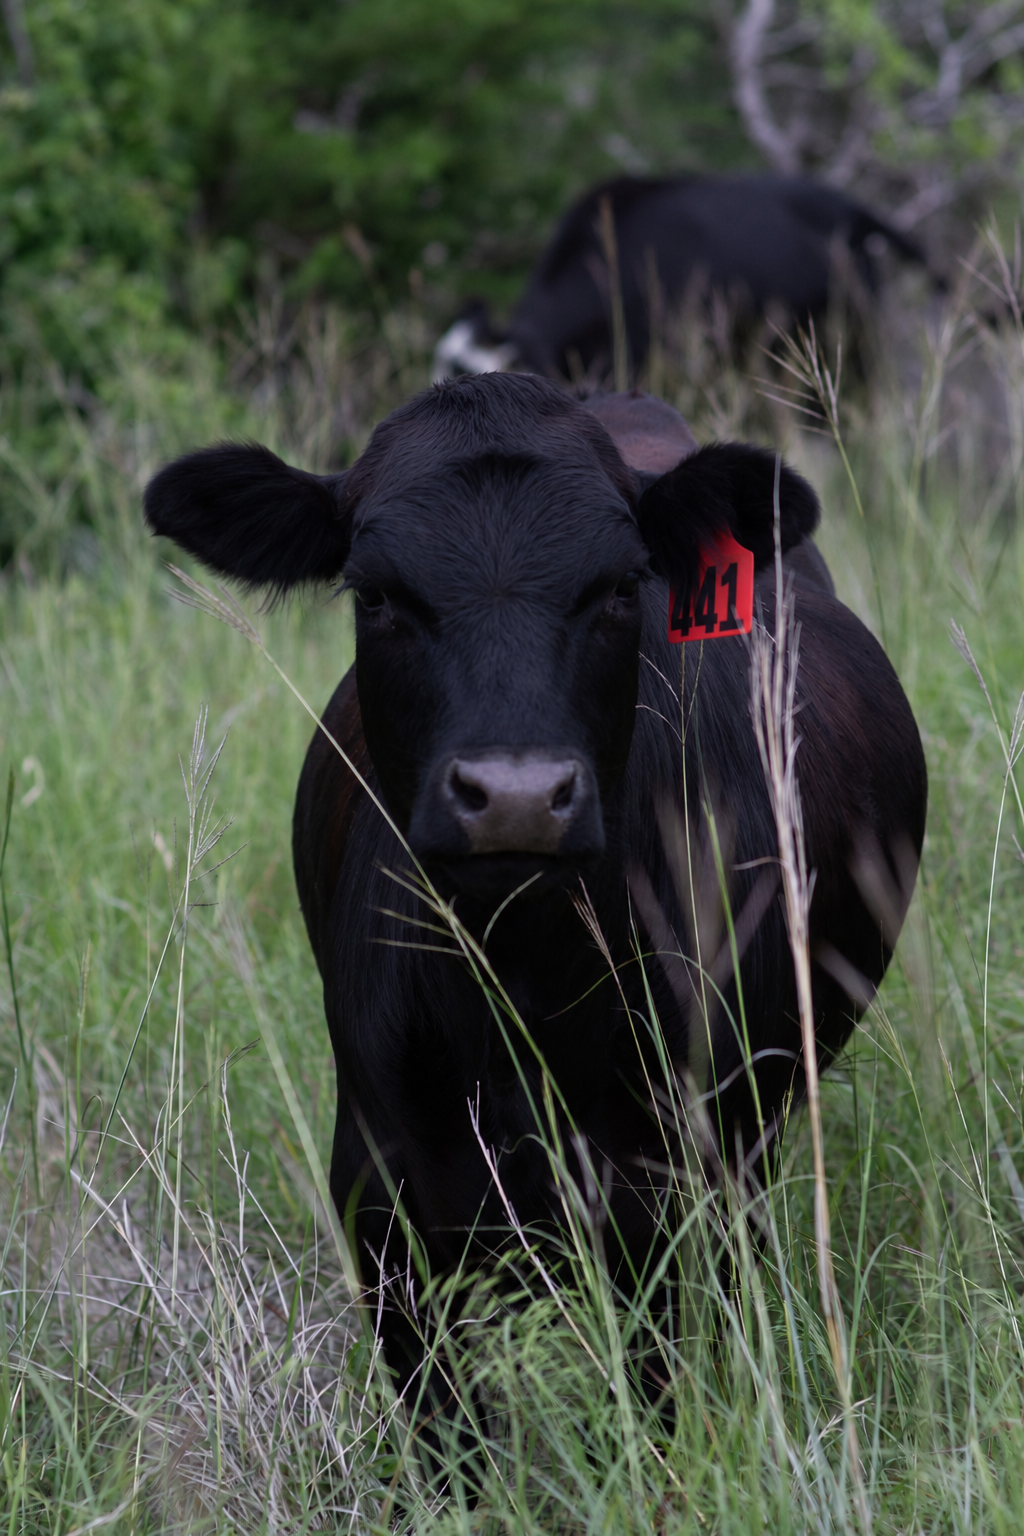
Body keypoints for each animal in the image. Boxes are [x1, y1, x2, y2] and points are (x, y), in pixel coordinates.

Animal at [144, 374, 926, 1430]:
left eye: (619, 587)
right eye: (376, 594)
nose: (515, 796)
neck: (521, 981)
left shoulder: (670, 1190)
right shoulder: (386, 1195)